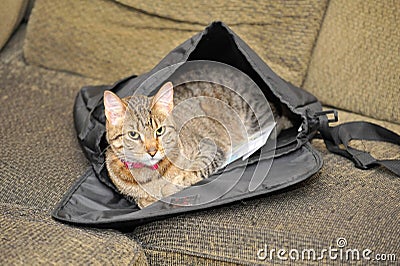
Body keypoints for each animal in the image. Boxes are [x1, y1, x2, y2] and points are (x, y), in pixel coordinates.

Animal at [104, 77, 290, 208]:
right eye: (133, 135)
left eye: (160, 131)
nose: (152, 151)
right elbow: (142, 200)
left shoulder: (210, 148)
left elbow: (192, 172)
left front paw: (172, 185)